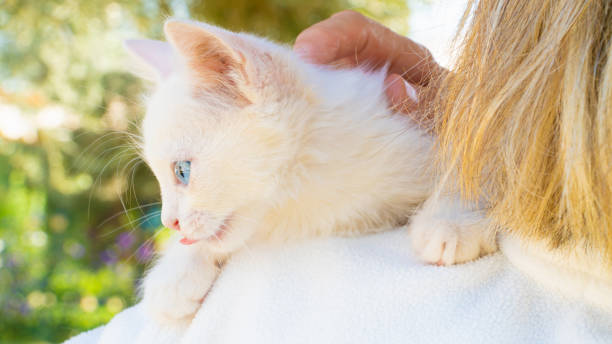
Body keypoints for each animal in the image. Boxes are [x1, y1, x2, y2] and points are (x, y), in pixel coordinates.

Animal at [124, 20, 498, 328]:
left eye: (182, 172)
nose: (169, 222)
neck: (307, 195)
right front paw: (174, 274)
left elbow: (478, 154)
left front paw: (451, 221)